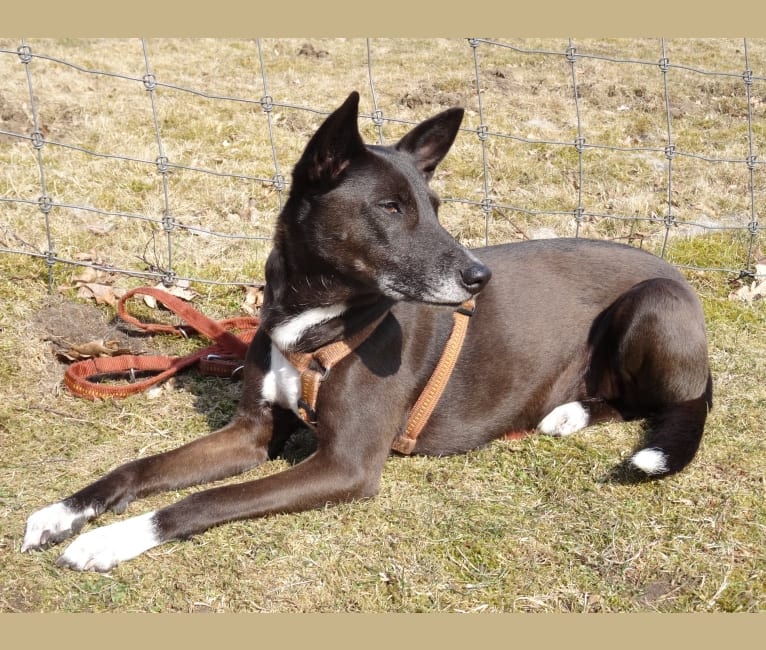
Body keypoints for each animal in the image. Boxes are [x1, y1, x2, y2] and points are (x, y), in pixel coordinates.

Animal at [21, 91, 712, 568]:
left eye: (434, 208)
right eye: (390, 207)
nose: (479, 277)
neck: (314, 320)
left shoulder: (345, 465)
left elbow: (201, 501)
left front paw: (113, 539)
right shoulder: (250, 435)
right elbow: (138, 467)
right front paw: (65, 512)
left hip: (653, 304)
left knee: (668, 403)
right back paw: (568, 411)